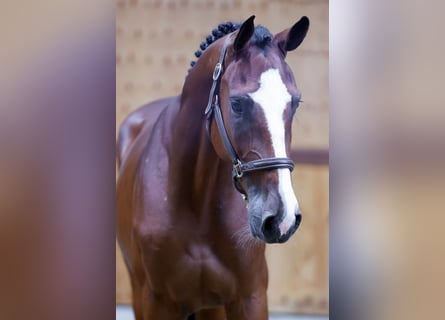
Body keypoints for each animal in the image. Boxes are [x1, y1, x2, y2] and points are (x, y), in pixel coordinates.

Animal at [117, 15, 308, 320]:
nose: (282, 218)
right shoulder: (157, 301)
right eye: (237, 103)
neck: (197, 202)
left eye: (295, 102)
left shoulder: (250, 297)